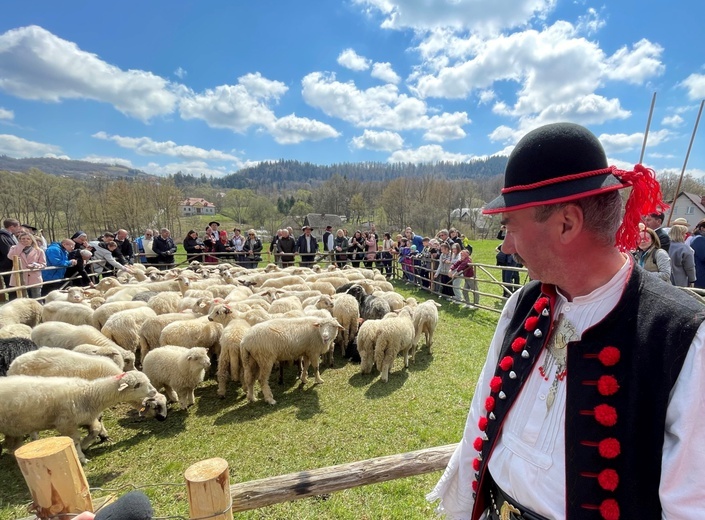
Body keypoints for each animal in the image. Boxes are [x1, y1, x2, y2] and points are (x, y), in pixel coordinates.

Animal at [0, 370, 155, 464]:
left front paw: (86, 445)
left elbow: (95, 430)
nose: (153, 391)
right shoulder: (66, 423)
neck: (88, 394)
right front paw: (81, 458)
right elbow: (74, 441)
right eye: (137, 385)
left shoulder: (85, 418)